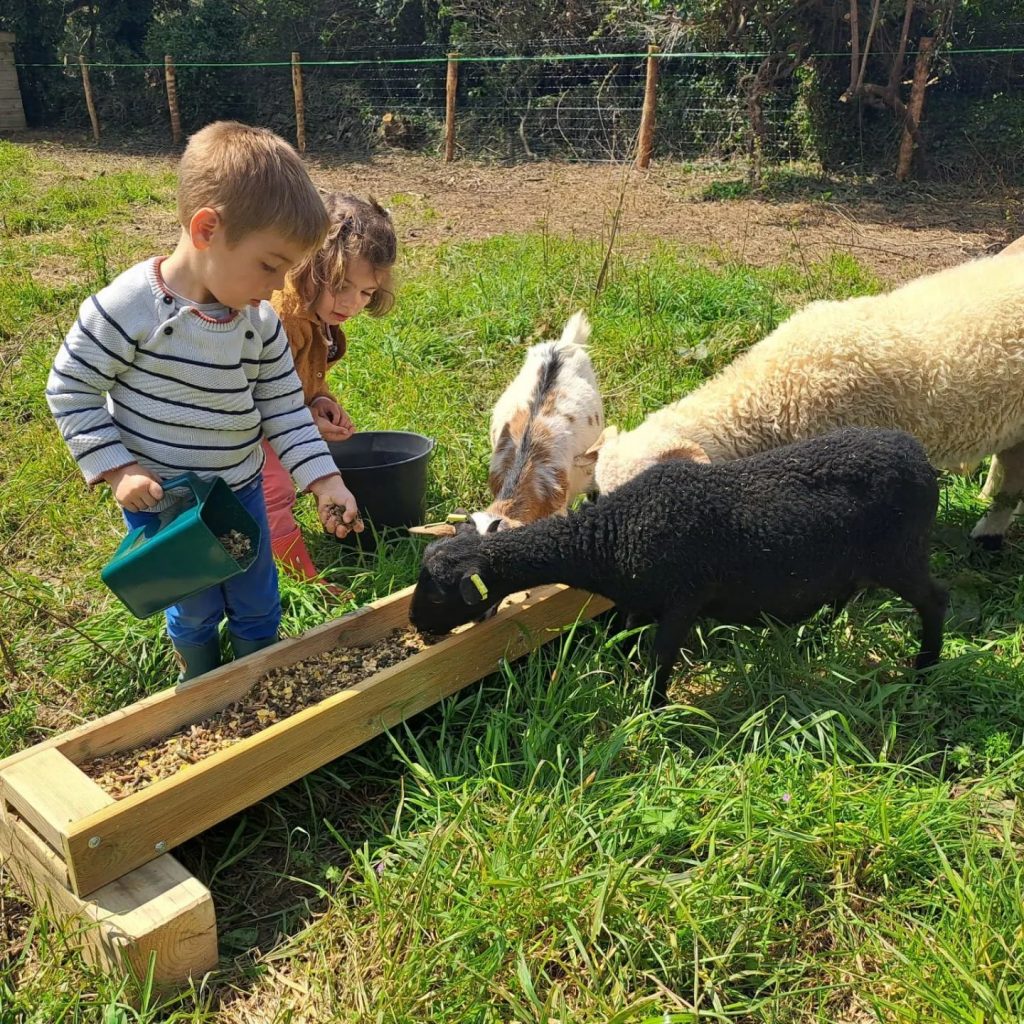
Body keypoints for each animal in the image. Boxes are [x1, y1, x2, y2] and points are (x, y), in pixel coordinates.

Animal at [405, 425, 942, 704]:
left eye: (436, 590)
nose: (415, 625)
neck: (607, 537)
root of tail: (916, 453)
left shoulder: (684, 600)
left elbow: (661, 657)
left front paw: (652, 708)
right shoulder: (638, 602)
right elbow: (626, 641)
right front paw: (622, 683)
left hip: (901, 553)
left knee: (936, 599)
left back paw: (926, 667)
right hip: (853, 559)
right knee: (845, 591)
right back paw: (821, 637)